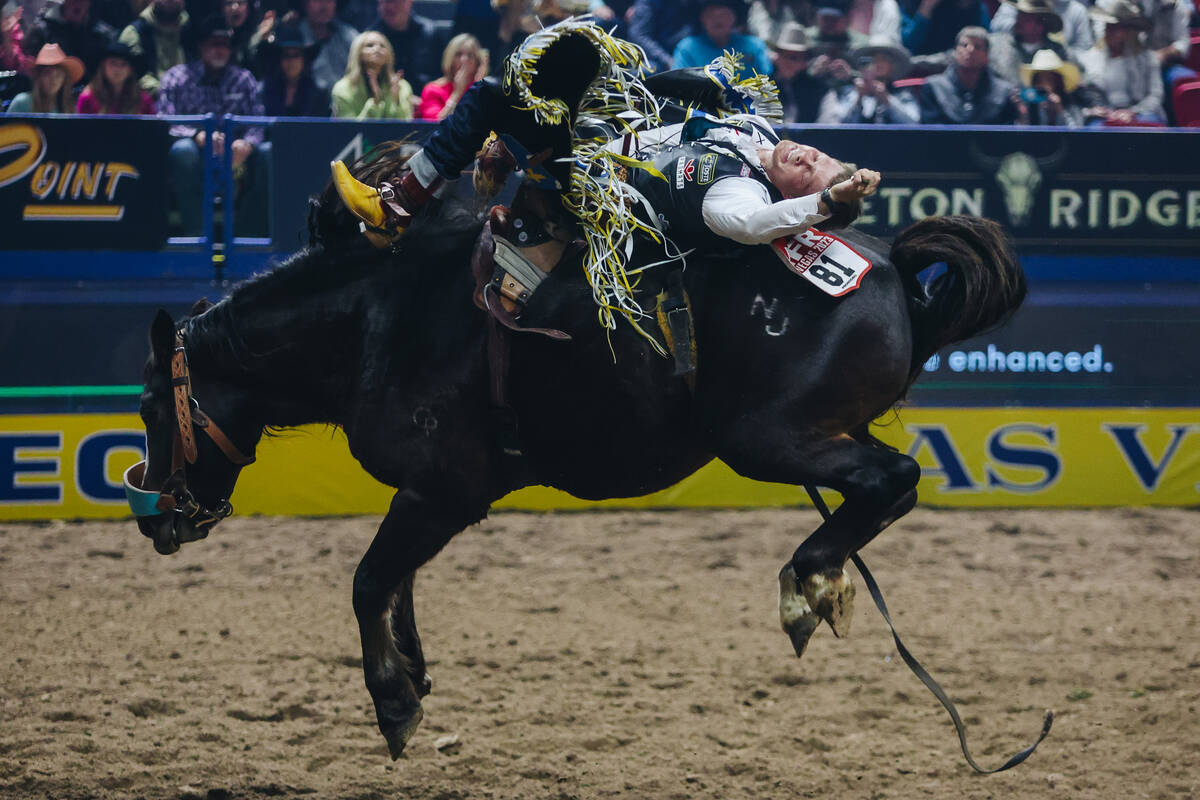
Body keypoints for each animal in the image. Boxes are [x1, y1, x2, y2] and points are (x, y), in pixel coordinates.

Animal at [129, 173, 1032, 758]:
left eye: (146, 410)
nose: (162, 521)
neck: (378, 315)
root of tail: (893, 267)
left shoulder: (443, 491)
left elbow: (368, 581)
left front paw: (393, 703)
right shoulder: (426, 496)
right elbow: (397, 585)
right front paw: (413, 676)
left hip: (763, 437)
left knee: (892, 480)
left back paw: (806, 588)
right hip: (803, 433)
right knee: (879, 485)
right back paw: (828, 582)